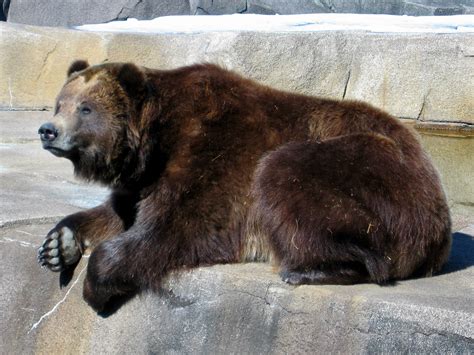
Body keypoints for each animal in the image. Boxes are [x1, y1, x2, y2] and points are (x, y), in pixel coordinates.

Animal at [38, 59, 452, 312]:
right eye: (60, 103)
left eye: (86, 108)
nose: (47, 130)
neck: (155, 142)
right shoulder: (142, 178)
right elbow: (118, 212)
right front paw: (58, 245)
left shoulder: (215, 151)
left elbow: (180, 227)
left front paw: (96, 285)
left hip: (372, 174)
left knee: (286, 174)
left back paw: (307, 270)